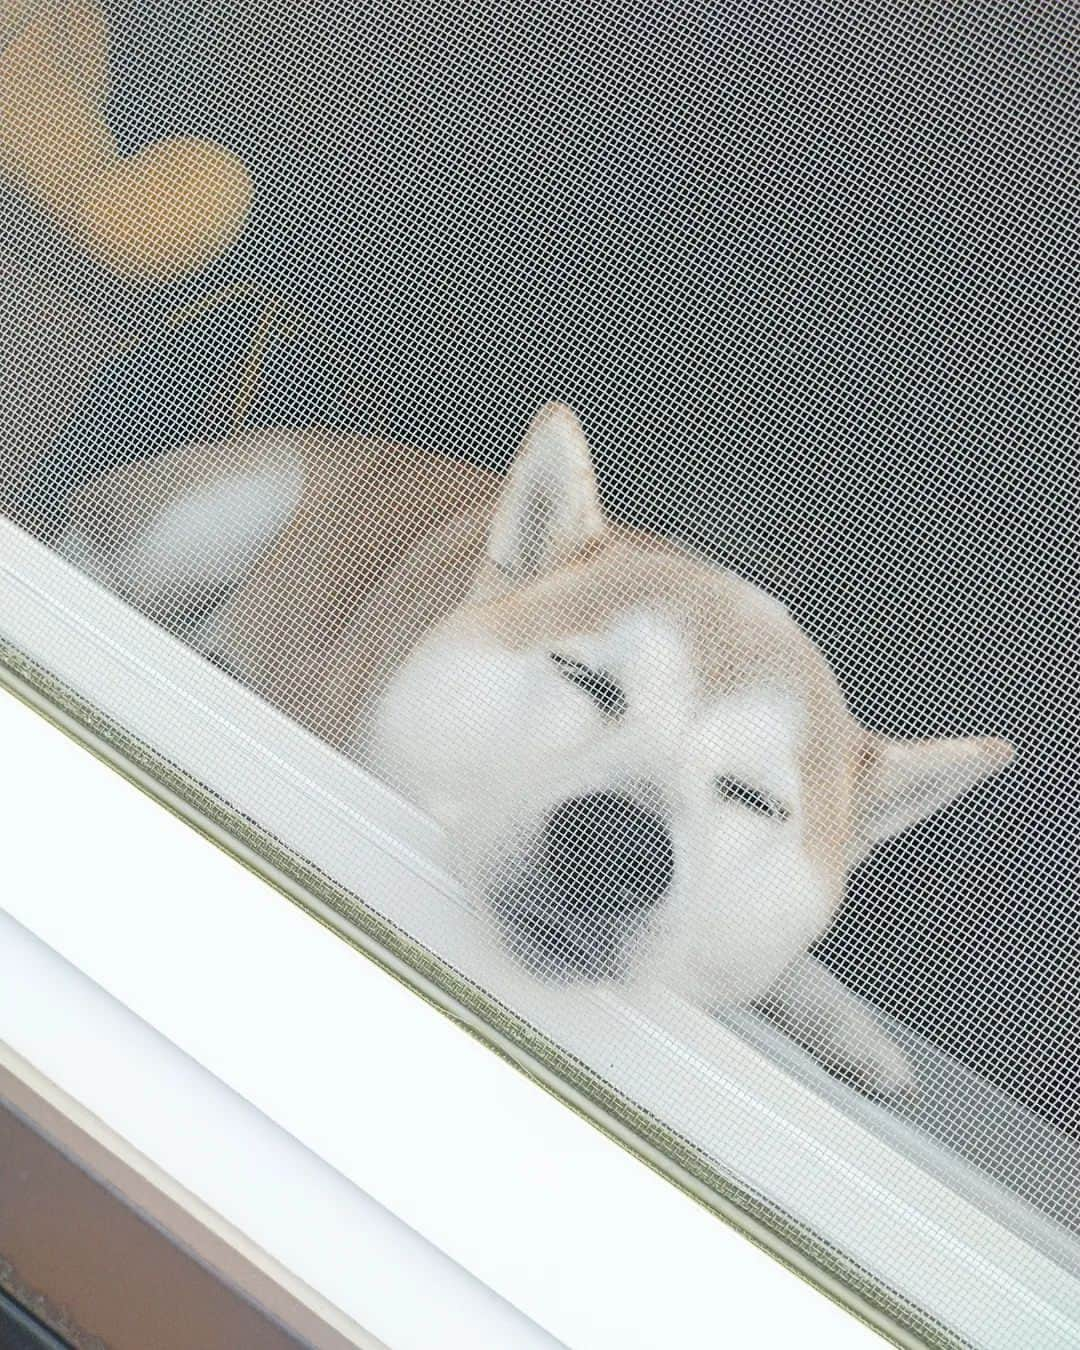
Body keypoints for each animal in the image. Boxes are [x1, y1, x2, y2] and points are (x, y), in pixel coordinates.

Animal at [57, 399, 1015, 1096]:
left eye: (752, 797)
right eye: (586, 680)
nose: (616, 847)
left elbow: (786, 971)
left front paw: (849, 1026)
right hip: (229, 511)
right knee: (94, 560)